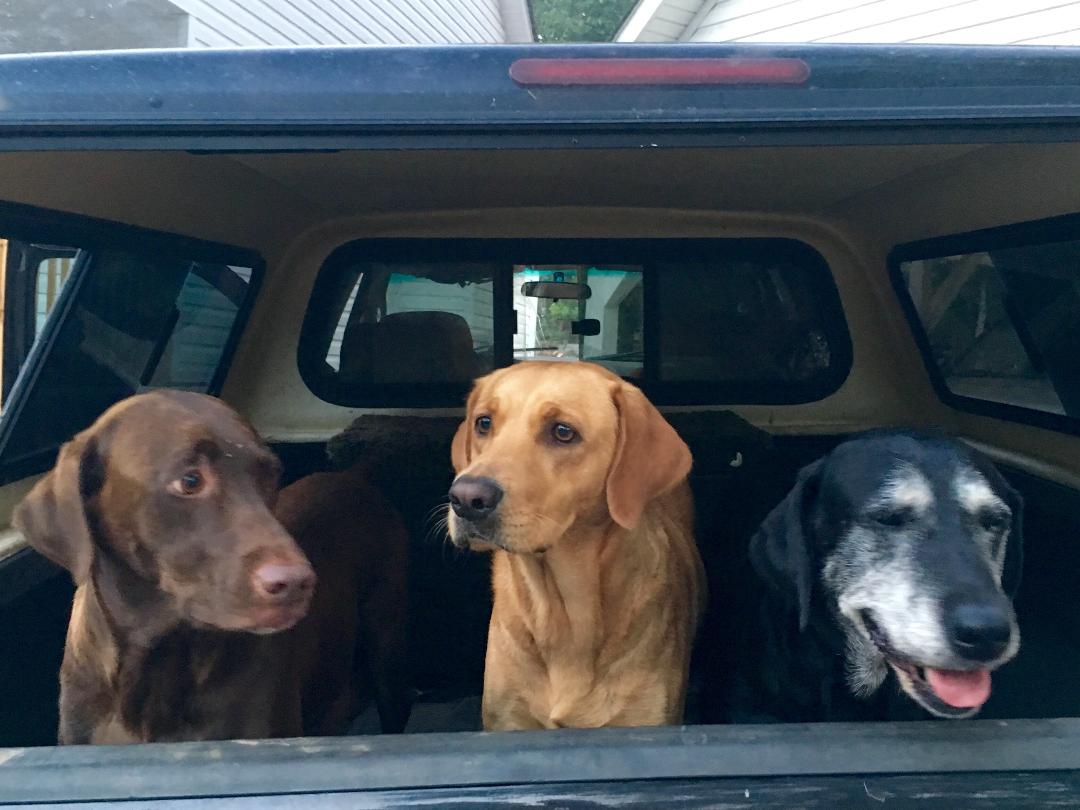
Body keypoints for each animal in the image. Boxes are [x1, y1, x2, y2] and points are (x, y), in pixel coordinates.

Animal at [13, 390, 409, 743]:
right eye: (190, 481)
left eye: (270, 475)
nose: (298, 583)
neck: (160, 663)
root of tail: (356, 477)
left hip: (387, 645)